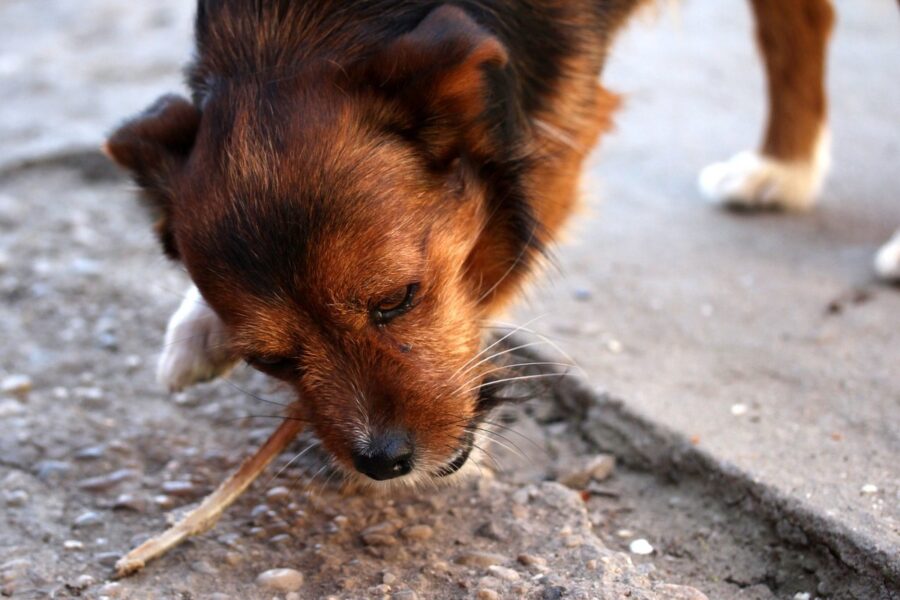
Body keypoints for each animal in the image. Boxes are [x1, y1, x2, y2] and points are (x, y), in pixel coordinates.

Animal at [103, 0, 892, 488]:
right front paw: (197, 327)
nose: (382, 462)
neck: (296, 32)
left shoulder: (555, 124)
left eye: (398, 299)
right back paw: (785, 168)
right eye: (269, 360)